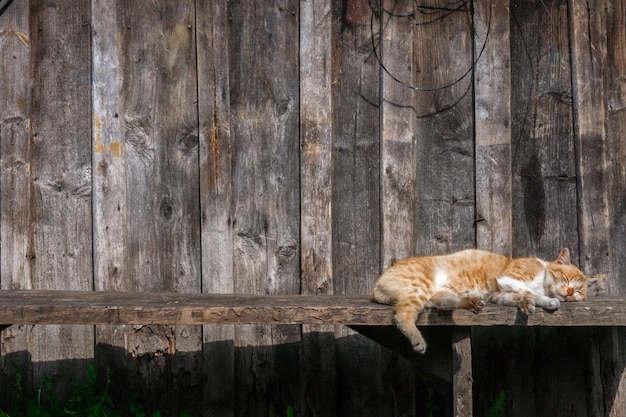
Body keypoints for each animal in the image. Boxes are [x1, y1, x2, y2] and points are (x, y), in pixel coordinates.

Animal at [370, 249, 584, 352]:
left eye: (579, 292)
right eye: (567, 279)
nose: (570, 291)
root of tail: (377, 284)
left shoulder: (499, 295)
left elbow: (523, 296)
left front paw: (542, 303)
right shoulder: (507, 279)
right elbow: (530, 292)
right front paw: (543, 300)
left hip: (431, 293)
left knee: (439, 301)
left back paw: (471, 302)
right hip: (419, 289)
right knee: (402, 316)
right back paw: (418, 341)